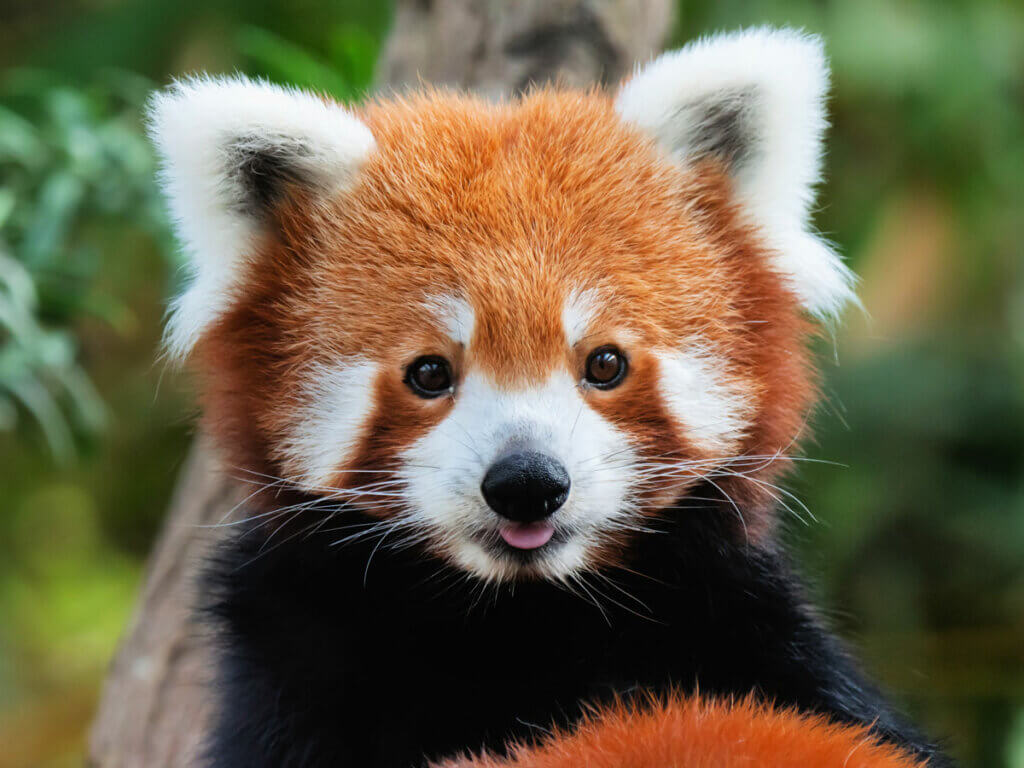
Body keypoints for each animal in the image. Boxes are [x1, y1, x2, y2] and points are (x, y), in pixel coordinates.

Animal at [149, 25, 950, 768]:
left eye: (604, 364)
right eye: (429, 374)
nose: (527, 482)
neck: (520, 623)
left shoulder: (757, 639)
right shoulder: (293, 669)